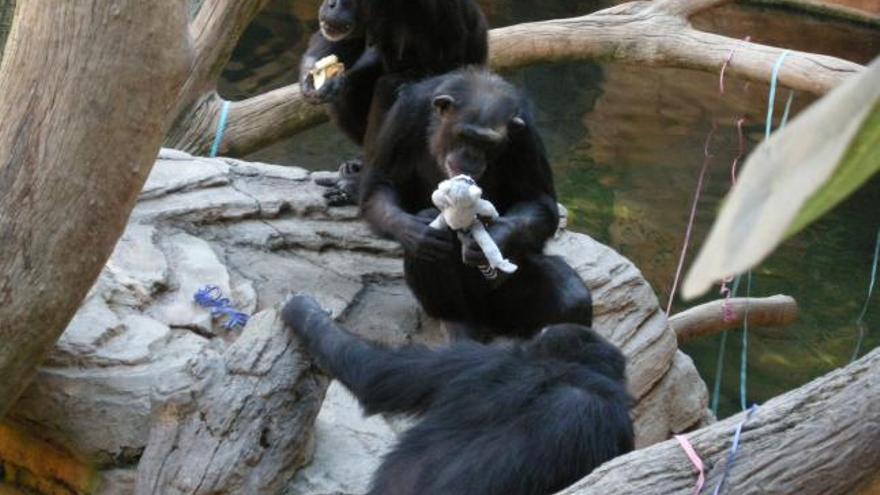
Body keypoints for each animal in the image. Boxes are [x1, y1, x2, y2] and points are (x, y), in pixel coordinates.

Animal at [300, 0, 492, 205]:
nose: (332, 3)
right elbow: (344, 42)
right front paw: (312, 76)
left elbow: (450, 63)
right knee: (348, 88)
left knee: (390, 87)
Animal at [360, 69, 596, 340]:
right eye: (465, 136)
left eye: (488, 143)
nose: (471, 156)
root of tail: (489, 321)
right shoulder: (404, 114)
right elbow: (380, 185)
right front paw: (415, 231)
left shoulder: (527, 135)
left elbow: (539, 200)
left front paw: (496, 236)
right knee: (431, 247)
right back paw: (456, 323)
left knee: (573, 298)